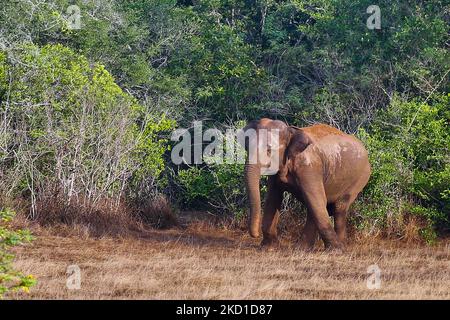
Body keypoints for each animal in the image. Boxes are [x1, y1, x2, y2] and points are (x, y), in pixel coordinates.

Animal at [243, 119, 372, 251]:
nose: (255, 235)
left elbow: (315, 198)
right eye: (246, 148)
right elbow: (273, 199)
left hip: (359, 178)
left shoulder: (309, 167)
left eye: (269, 150)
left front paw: (336, 251)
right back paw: (304, 248)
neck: (291, 131)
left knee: (336, 206)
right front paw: (268, 248)